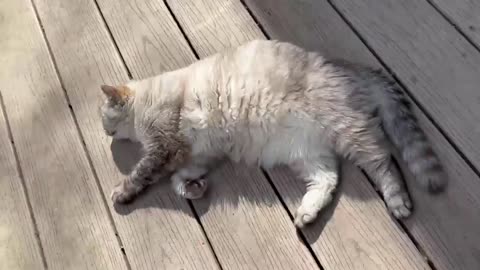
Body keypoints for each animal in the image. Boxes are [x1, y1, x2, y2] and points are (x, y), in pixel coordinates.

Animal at [100, 38, 446, 228]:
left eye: (104, 116)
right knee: (329, 179)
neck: (146, 99)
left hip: (350, 132)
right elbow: (178, 180)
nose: (105, 134)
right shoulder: (199, 154)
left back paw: (397, 200)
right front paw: (195, 188)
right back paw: (307, 214)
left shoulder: (164, 146)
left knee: (384, 160)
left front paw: (121, 192)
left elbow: (141, 174)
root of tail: (353, 67)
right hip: (307, 154)